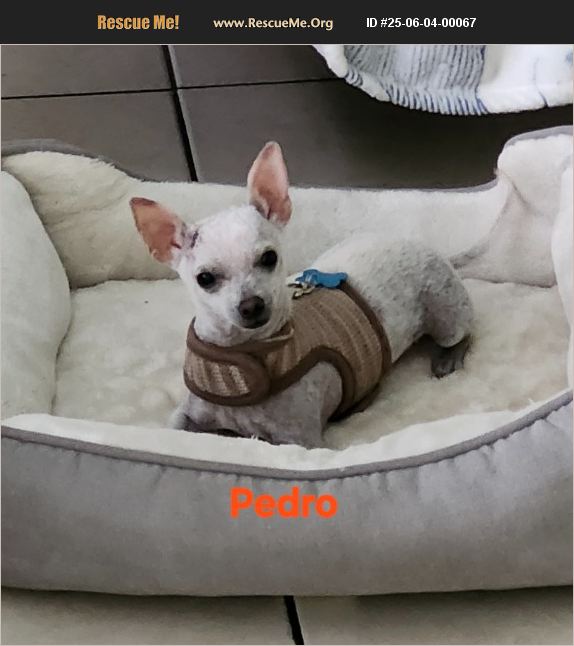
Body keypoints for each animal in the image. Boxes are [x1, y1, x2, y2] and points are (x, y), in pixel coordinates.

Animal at [130, 142, 473, 448]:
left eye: (269, 258)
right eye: (205, 279)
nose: (252, 306)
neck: (245, 353)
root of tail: (425, 246)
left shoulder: (299, 440)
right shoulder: (188, 415)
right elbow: (176, 431)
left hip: (444, 310)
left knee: (462, 331)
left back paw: (449, 356)